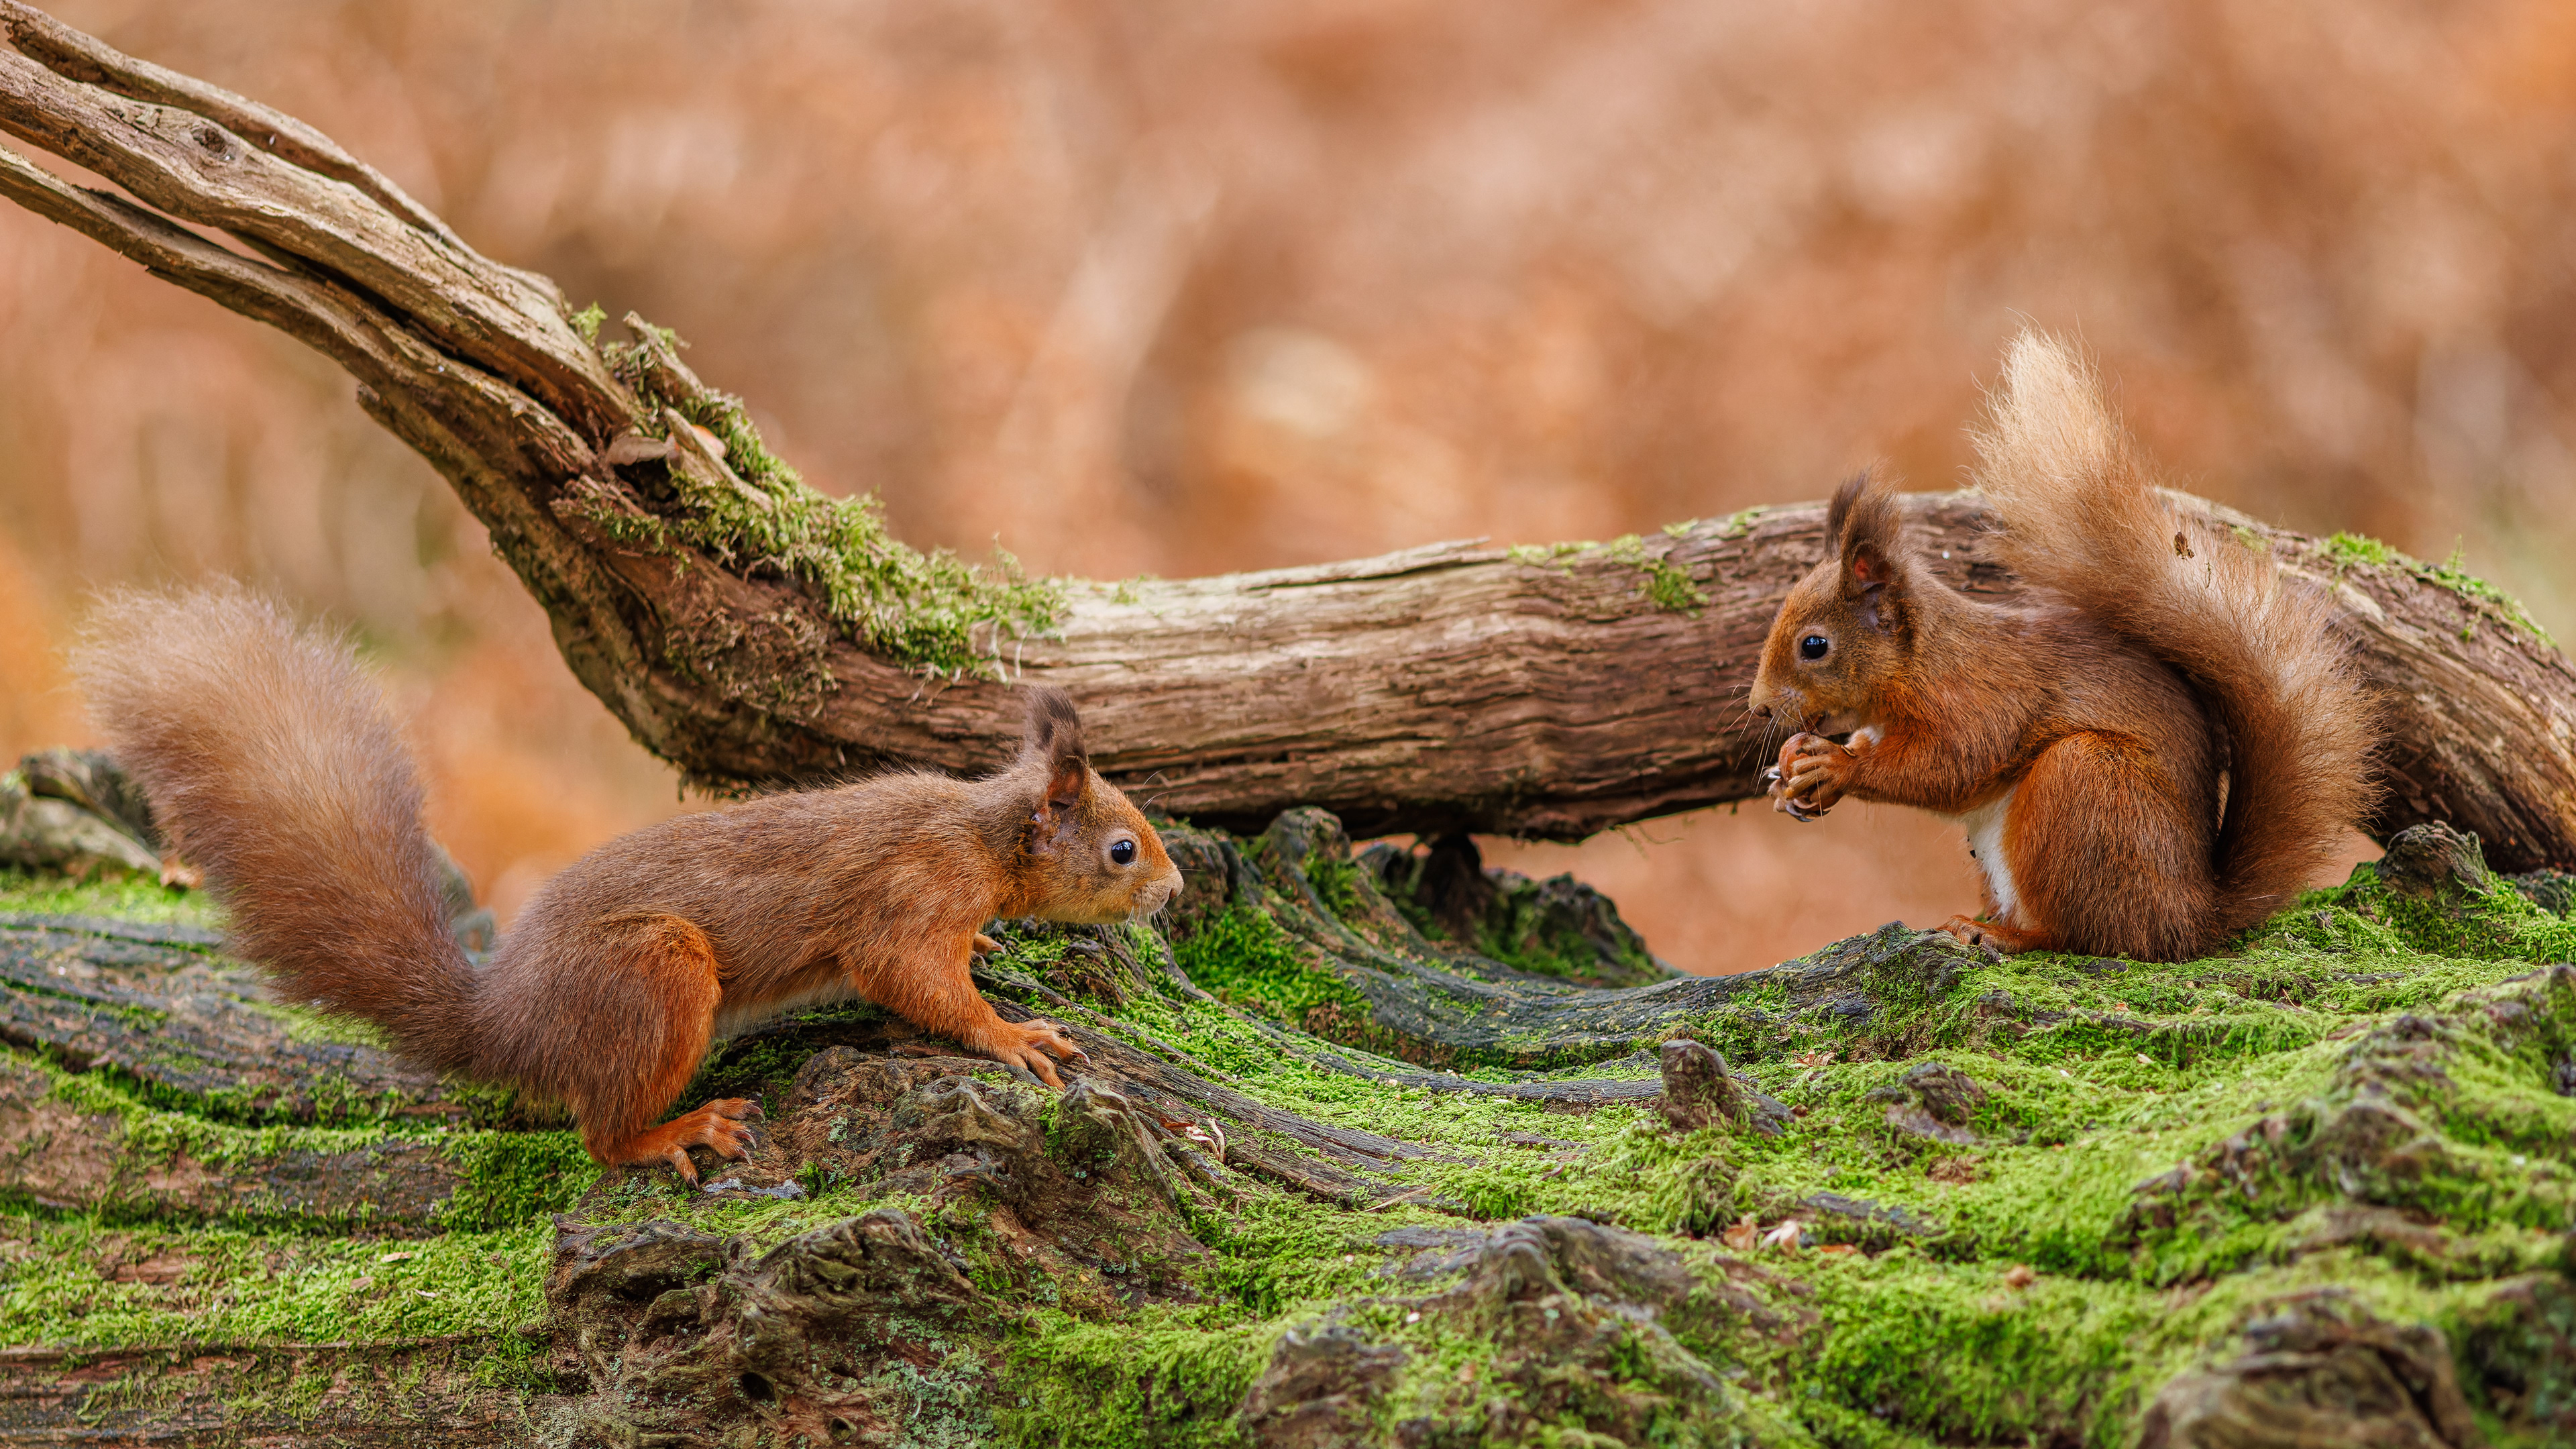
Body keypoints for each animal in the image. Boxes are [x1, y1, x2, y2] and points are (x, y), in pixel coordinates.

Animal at [71, 586, 1183, 1180]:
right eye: (1122, 850)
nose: (1172, 893)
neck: (982, 834)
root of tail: (507, 1022)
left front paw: (992, 946)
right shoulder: (910, 898)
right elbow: (912, 981)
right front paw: (1010, 1033)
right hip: (657, 974)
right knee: (599, 1138)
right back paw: (677, 1131)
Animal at [1747, 332, 2376, 962]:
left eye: (1814, 645)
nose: (1758, 708)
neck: (1921, 660)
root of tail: (2190, 919)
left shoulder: (1977, 700)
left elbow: (1947, 766)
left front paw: (1837, 765)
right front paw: (1792, 772)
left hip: (2084, 786)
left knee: (2080, 935)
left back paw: (1997, 933)